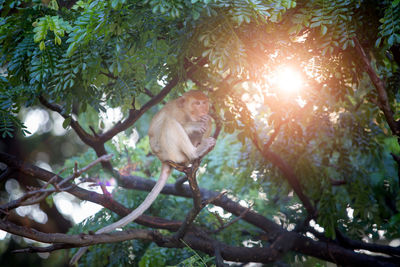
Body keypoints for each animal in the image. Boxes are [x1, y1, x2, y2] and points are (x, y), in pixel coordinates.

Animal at [71, 90, 216, 266]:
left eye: (204, 103)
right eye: (197, 103)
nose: (203, 109)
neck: (188, 114)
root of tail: (164, 161)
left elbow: (207, 121)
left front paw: (205, 119)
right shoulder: (175, 112)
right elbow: (163, 128)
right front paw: (194, 125)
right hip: (170, 153)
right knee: (169, 124)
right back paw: (196, 152)